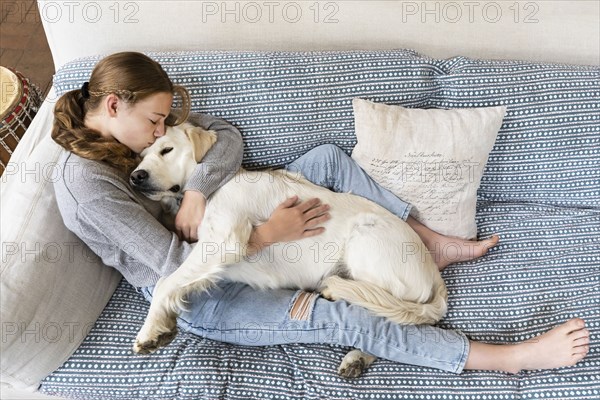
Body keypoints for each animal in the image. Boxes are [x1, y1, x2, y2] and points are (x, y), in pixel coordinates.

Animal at [134, 122, 448, 378]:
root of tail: (435, 276)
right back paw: (357, 358)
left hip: (364, 241)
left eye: (166, 150)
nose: (136, 176)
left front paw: (151, 330)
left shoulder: (224, 240)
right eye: (141, 155)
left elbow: (165, 282)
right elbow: (172, 279)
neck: (212, 189)